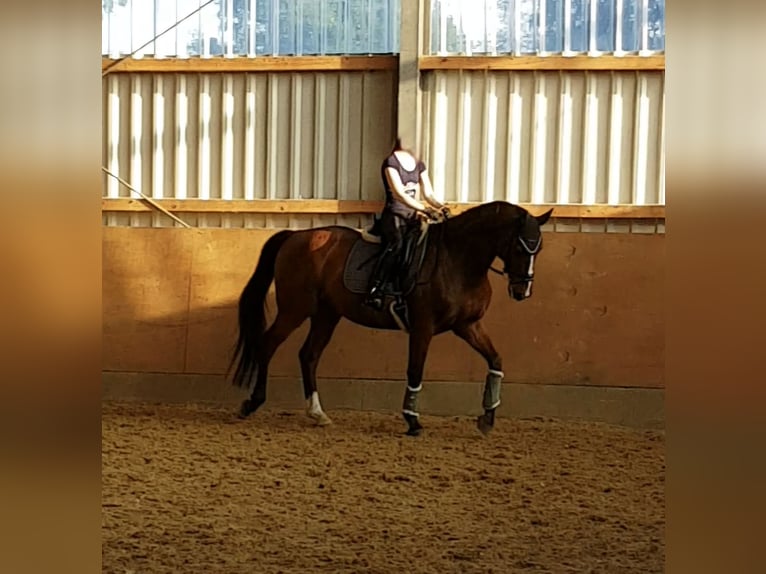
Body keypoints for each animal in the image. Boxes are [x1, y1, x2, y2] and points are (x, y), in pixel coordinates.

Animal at [228, 200, 553, 436]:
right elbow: (415, 371)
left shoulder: (467, 326)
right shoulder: (423, 327)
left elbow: (495, 360)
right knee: (268, 344)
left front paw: (487, 418)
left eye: (538, 247)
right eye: (520, 245)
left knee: (308, 355)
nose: (522, 290)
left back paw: (318, 413)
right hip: (295, 309)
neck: (457, 260)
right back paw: (252, 403)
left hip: (327, 314)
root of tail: (295, 236)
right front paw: (412, 421)